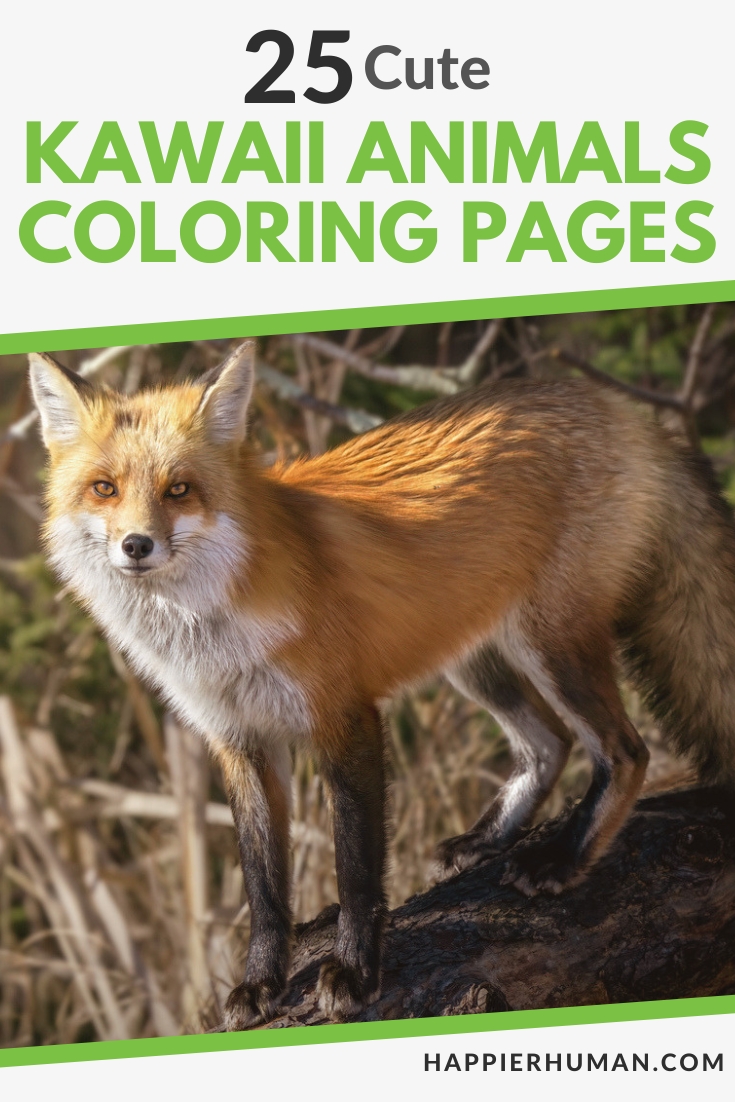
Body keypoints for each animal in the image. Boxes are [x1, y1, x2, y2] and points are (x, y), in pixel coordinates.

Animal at [28, 340, 735, 1028]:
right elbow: (264, 887)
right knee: (549, 743)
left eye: (179, 490)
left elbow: (357, 870)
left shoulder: (346, 716)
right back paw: (490, 838)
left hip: (550, 646)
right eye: (104, 488)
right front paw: (260, 984)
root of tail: (614, 407)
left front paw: (353, 974)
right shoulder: (239, 739)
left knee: (626, 750)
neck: (212, 628)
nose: (137, 545)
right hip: (474, 657)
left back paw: (561, 859)